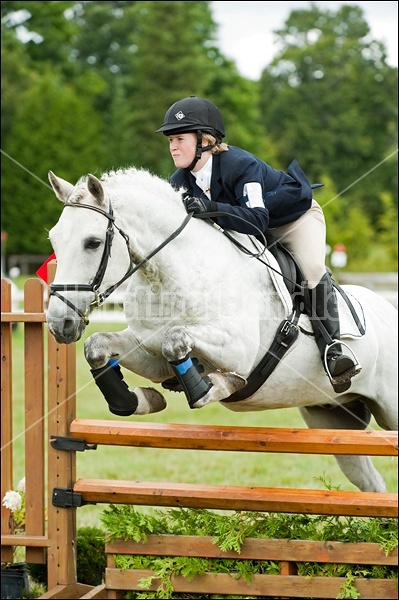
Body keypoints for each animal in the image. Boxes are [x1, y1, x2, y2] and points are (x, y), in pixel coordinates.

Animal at [46, 168, 396, 492]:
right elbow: (98, 346)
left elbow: (178, 342)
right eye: (54, 239)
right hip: (333, 417)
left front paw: (216, 385)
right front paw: (139, 400)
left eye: (92, 243)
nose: (59, 323)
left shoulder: (237, 350)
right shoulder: (152, 354)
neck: (171, 274)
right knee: (372, 484)